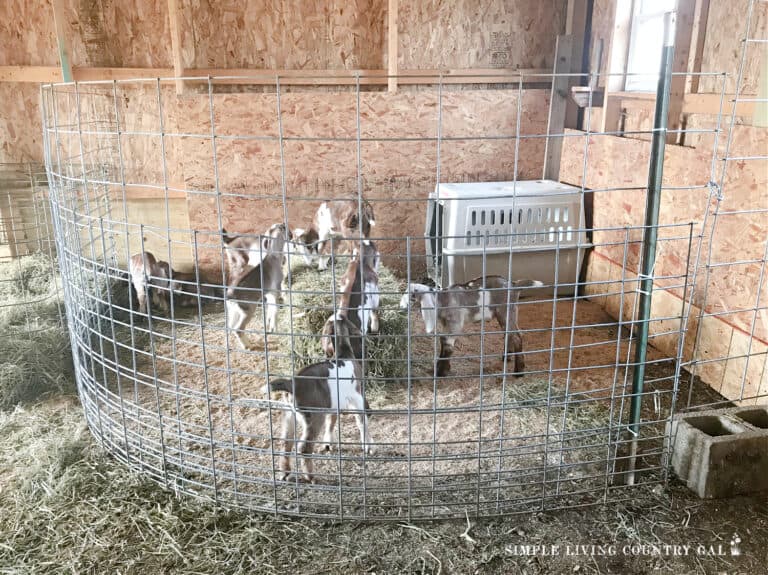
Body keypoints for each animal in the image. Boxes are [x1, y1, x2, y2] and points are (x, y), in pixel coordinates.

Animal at [264, 325, 374, 483]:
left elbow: (331, 420)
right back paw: (311, 477)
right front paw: (369, 446)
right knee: (304, 447)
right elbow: (361, 421)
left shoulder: (334, 403)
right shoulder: (356, 397)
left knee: (286, 442)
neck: (344, 354)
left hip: (289, 414)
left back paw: (285, 473)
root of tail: (291, 384)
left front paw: (328, 443)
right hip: (314, 416)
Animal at [399, 276, 543, 377]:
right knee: (509, 334)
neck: (443, 299)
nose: (401, 307)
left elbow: (447, 343)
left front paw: (441, 372)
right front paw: (441, 368)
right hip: (508, 313)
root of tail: (513, 285)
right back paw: (506, 357)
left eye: (412, 295)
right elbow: (442, 340)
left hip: (506, 311)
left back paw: (519, 372)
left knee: (517, 336)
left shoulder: (455, 323)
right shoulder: (446, 323)